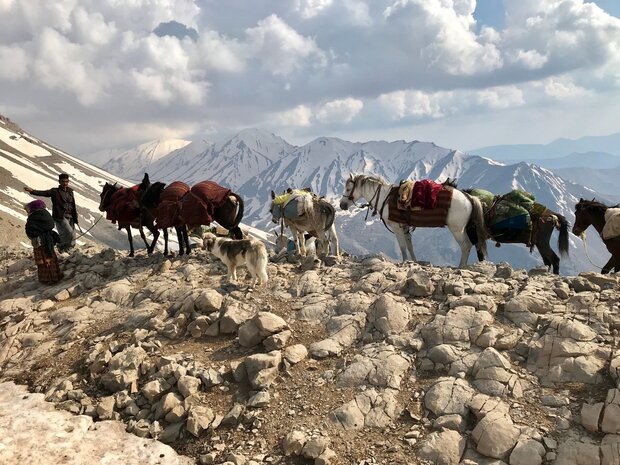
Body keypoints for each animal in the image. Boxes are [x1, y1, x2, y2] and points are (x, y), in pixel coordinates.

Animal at [340, 173, 490, 266]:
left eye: (348, 189)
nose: (342, 205)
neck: (384, 198)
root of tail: (469, 197)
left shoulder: (397, 228)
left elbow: (402, 247)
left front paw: (405, 262)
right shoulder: (405, 228)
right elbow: (409, 246)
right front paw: (414, 261)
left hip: (457, 230)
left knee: (465, 245)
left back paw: (461, 267)